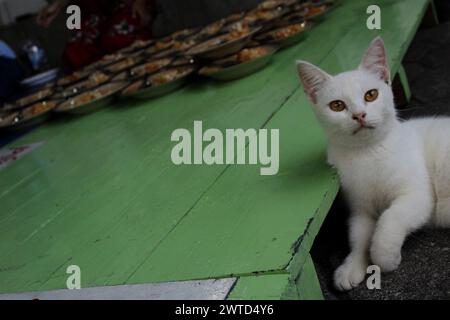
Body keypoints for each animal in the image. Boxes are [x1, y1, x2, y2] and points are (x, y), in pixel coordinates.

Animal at [298, 36, 448, 292]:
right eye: (337, 105)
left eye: (371, 95)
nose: (359, 115)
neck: (367, 154)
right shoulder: (361, 208)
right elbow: (358, 237)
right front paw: (351, 267)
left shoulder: (417, 196)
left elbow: (389, 218)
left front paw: (384, 257)